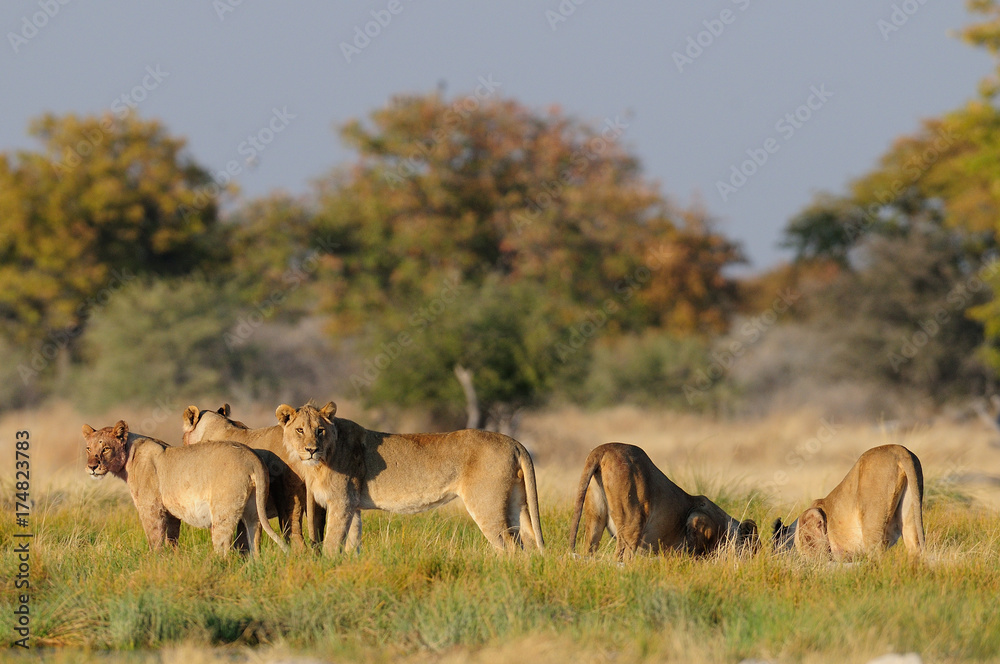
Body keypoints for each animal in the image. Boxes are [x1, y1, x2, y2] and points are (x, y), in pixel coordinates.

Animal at [83, 420, 288, 556]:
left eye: (105, 448)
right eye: (88, 448)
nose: (92, 466)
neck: (129, 455)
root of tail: (252, 458)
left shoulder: (151, 508)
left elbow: (154, 538)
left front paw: (154, 563)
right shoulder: (170, 511)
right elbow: (172, 538)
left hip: (223, 510)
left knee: (223, 545)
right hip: (253, 509)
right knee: (255, 537)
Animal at [274, 401, 545, 555]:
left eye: (320, 430)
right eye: (300, 430)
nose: (311, 449)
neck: (322, 459)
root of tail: (514, 442)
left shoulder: (341, 502)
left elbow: (332, 544)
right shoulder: (352, 505)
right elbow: (353, 543)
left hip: (486, 504)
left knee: (509, 547)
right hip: (516, 503)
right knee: (527, 543)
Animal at [568, 443, 759, 560]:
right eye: (755, 549)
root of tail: (603, 448)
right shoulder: (697, 518)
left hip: (595, 519)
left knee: (590, 549)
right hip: (632, 521)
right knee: (622, 557)